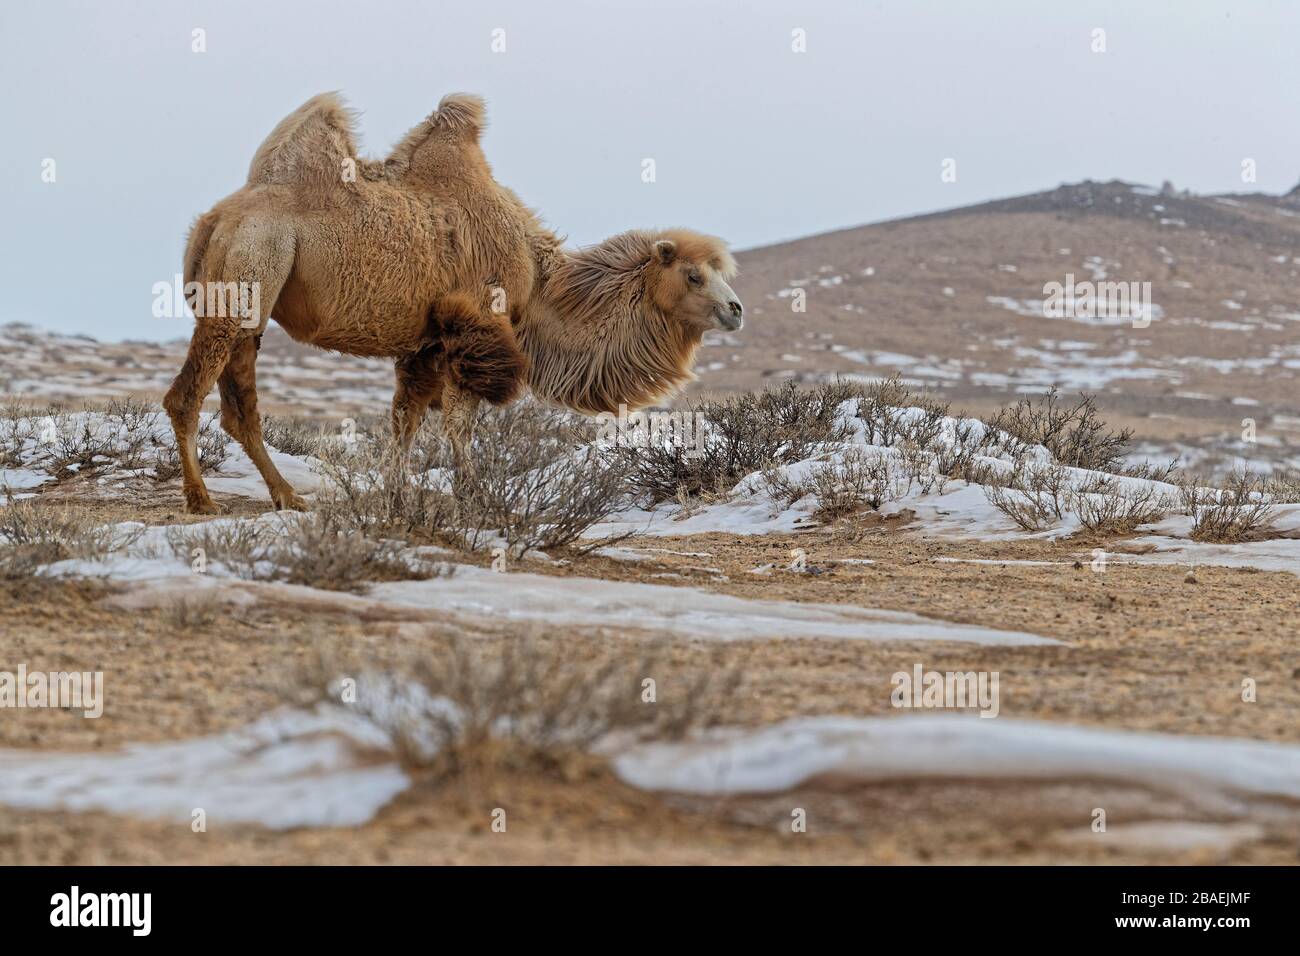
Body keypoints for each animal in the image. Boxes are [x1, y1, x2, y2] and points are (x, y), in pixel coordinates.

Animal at [164, 93, 743, 514]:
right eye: (694, 275)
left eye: (723, 272)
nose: (736, 310)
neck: (539, 283)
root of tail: (214, 219)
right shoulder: (476, 325)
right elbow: (459, 424)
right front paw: (475, 495)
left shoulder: (425, 341)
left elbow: (406, 417)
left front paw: (395, 494)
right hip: (251, 265)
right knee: (187, 394)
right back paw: (201, 499)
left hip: (252, 298)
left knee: (240, 403)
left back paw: (286, 495)